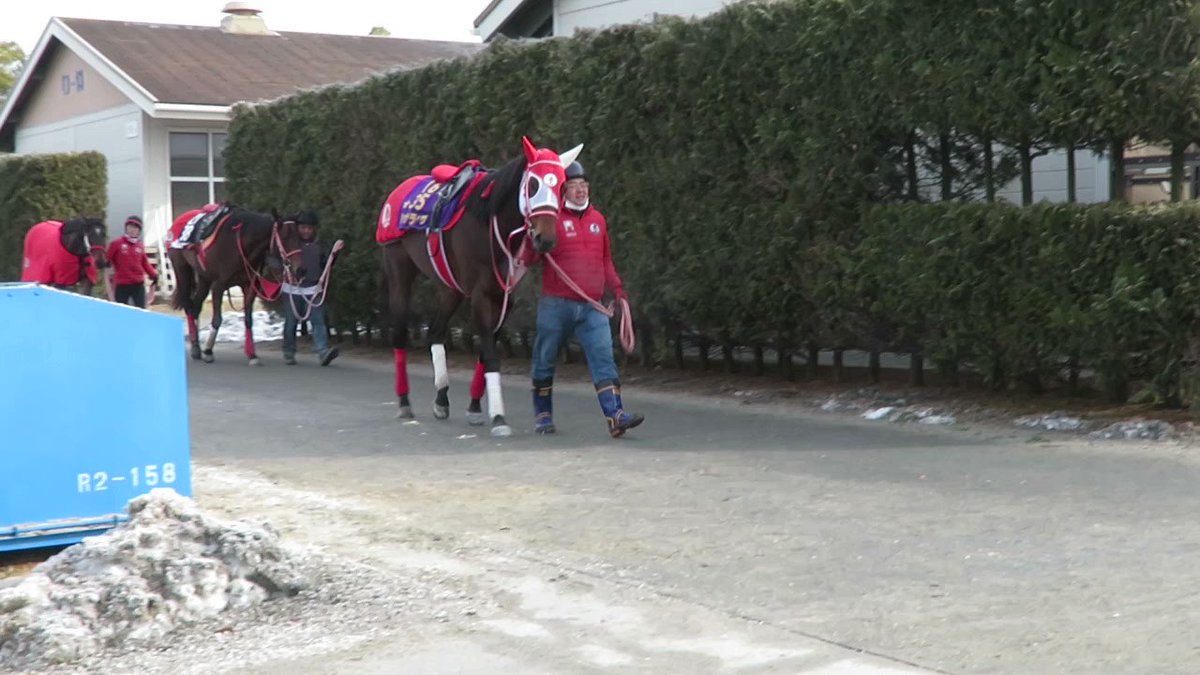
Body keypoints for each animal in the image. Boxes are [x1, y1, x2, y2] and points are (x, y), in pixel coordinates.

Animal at [169, 206, 304, 365]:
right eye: (284, 237)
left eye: (300, 237)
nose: (300, 270)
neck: (239, 243)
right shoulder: (218, 285)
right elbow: (217, 320)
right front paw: (208, 351)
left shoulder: (249, 286)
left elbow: (248, 320)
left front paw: (252, 355)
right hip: (182, 271)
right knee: (189, 305)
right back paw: (197, 348)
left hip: (203, 278)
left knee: (195, 308)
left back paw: (196, 347)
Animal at [376, 135, 578, 437]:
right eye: (533, 185)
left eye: (562, 186)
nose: (545, 239)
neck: (491, 223)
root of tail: (400, 188)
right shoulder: (481, 296)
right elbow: (491, 354)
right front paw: (498, 416)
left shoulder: (503, 296)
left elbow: (486, 351)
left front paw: (474, 407)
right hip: (399, 270)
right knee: (400, 333)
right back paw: (404, 402)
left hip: (451, 288)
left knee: (435, 331)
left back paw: (441, 399)